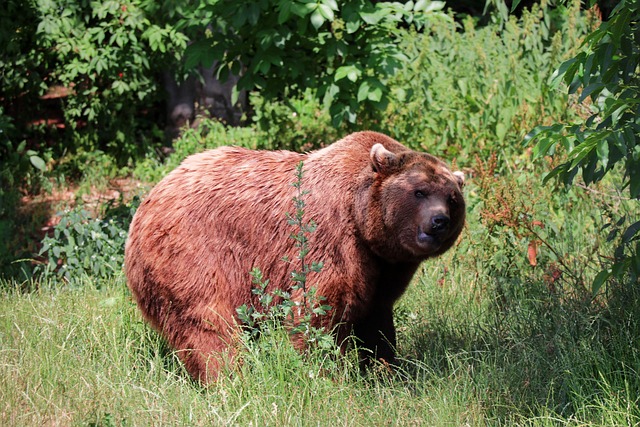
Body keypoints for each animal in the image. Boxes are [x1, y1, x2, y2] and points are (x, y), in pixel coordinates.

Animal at [124, 131, 465, 382]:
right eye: (419, 191)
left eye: (452, 198)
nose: (439, 221)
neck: (363, 221)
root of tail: (147, 202)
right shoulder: (332, 241)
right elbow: (319, 311)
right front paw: (328, 371)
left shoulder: (385, 266)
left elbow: (376, 318)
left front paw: (384, 369)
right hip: (193, 253)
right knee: (209, 323)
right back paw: (229, 377)